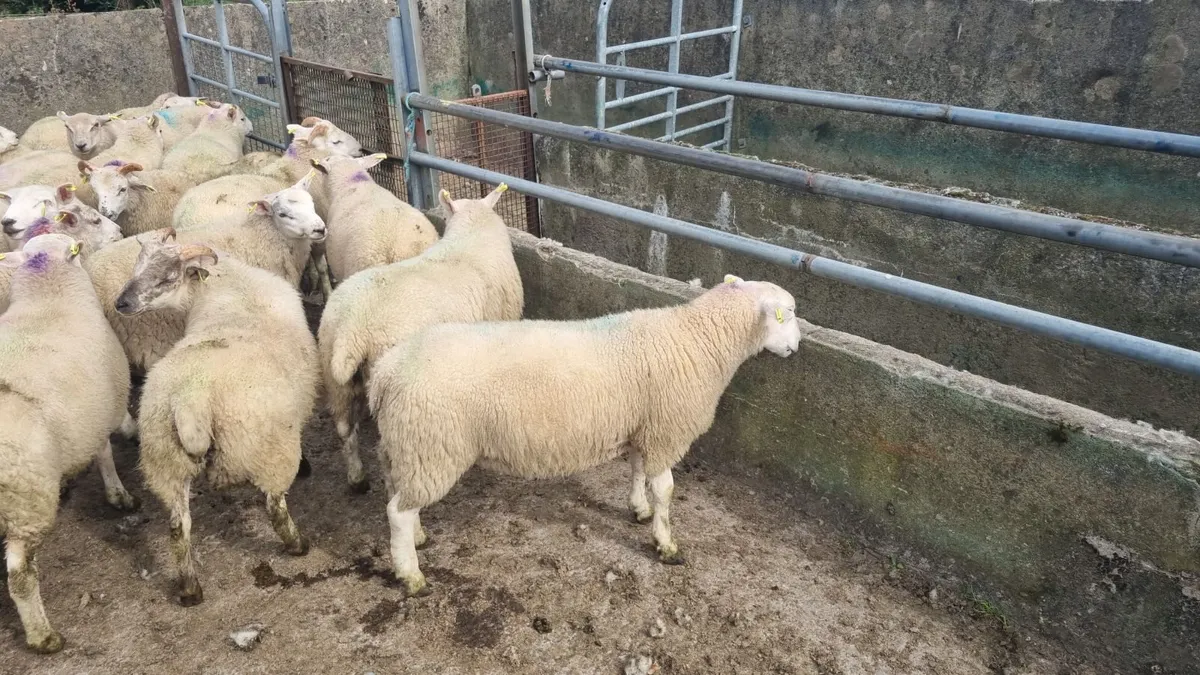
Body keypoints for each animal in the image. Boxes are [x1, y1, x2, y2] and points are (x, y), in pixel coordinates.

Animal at [0, 233, 138, 653]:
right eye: (77, 248)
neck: (48, 295)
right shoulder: (103, 407)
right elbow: (105, 453)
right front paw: (118, 495)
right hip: (26, 501)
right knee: (20, 575)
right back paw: (43, 636)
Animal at [85, 173, 325, 373]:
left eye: (312, 204)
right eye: (283, 214)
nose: (320, 229)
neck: (263, 233)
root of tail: (91, 270)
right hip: (150, 336)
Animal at [117, 233, 319, 606]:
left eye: (167, 277)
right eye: (138, 267)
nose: (120, 303)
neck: (228, 283)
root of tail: (189, 399)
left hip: (164, 457)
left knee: (178, 527)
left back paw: (189, 589)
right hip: (268, 447)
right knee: (275, 507)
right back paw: (298, 544)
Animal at [366, 275, 803, 596]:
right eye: (788, 315)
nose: (797, 349)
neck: (700, 338)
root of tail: (387, 371)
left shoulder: (643, 425)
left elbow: (637, 472)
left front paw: (638, 509)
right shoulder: (665, 431)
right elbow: (665, 491)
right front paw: (665, 544)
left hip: (403, 448)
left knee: (398, 499)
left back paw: (418, 540)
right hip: (431, 447)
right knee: (398, 513)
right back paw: (411, 576)